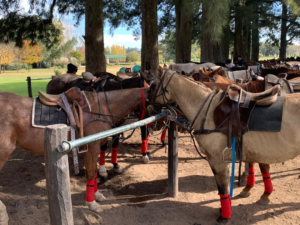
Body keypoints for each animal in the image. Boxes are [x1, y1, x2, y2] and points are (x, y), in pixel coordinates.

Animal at [0, 86, 149, 214]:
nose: (152, 126)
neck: (103, 108)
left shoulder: (96, 148)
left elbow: (94, 172)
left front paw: (97, 195)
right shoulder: (91, 148)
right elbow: (90, 173)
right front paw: (92, 203)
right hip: (4, 151)